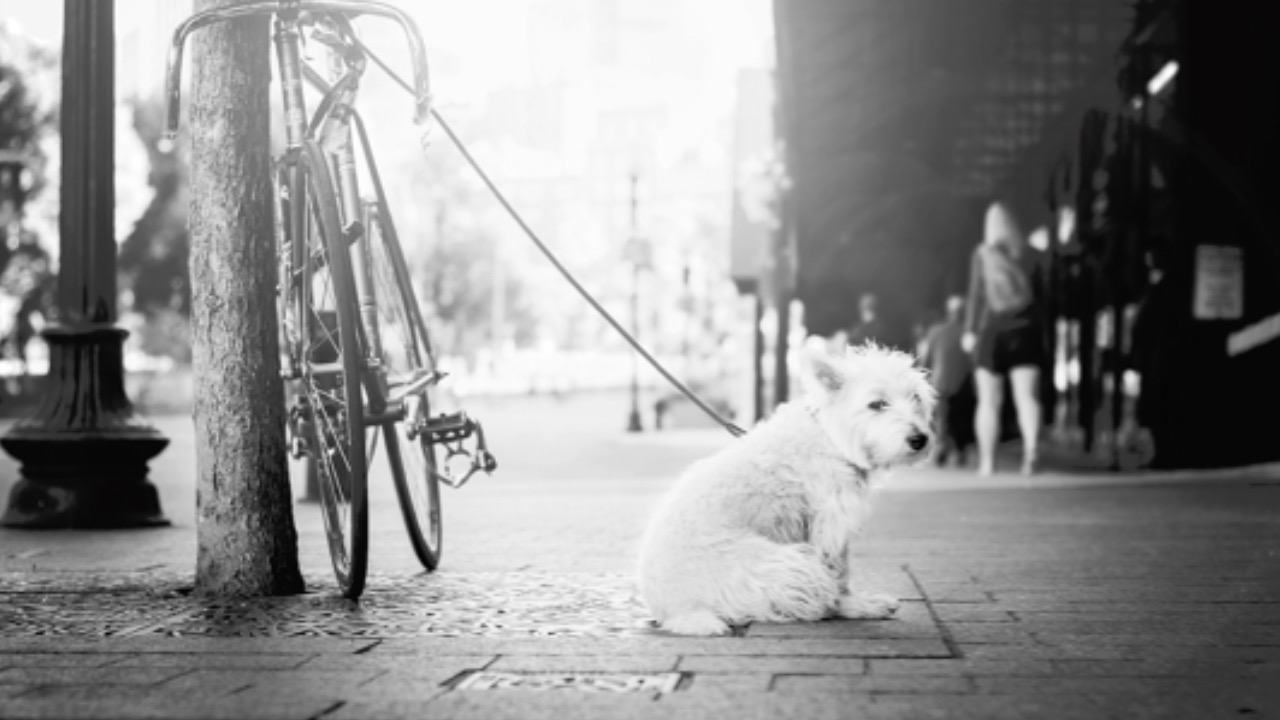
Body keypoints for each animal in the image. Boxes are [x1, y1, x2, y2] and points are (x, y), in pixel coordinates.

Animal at [634, 340, 936, 632]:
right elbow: (839, 574)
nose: (919, 439)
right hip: (793, 566)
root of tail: (676, 613)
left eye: (916, 397)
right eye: (877, 404)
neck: (829, 436)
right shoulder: (830, 525)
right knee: (812, 601)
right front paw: (857, 604)